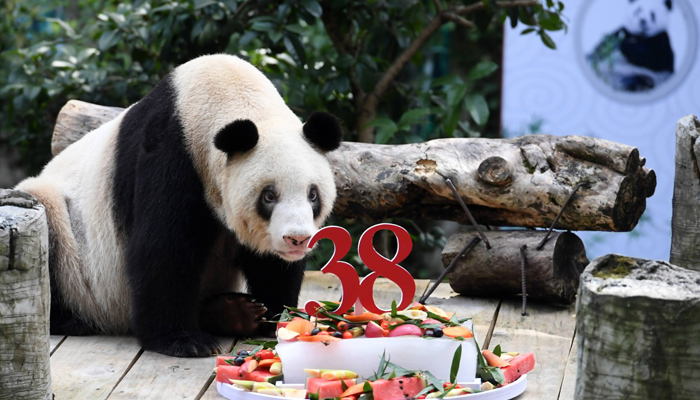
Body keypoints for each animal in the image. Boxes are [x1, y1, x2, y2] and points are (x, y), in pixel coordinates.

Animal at [15, 54, 344, 356]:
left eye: (313, 194)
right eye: (269, 196)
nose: (297, 239)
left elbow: (271, 263)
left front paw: (277, 318)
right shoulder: (172, 153)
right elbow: (163, 246)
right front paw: (182, 340)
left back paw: (233, 312)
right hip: (73, 246)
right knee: (48, 221)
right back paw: (70, 320)